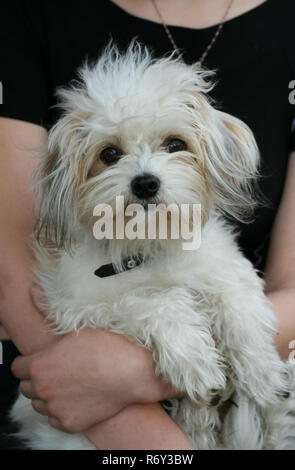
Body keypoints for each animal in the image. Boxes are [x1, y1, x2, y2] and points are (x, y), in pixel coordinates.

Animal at [10, 42, 295, 450]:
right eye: (109, 154)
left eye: (175, 144)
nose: (145, 183)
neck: (149, 241)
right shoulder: (80, 307)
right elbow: (152, 302)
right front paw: (194, 358)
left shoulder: (226, 267)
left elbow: (238, 310)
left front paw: (261, 371)